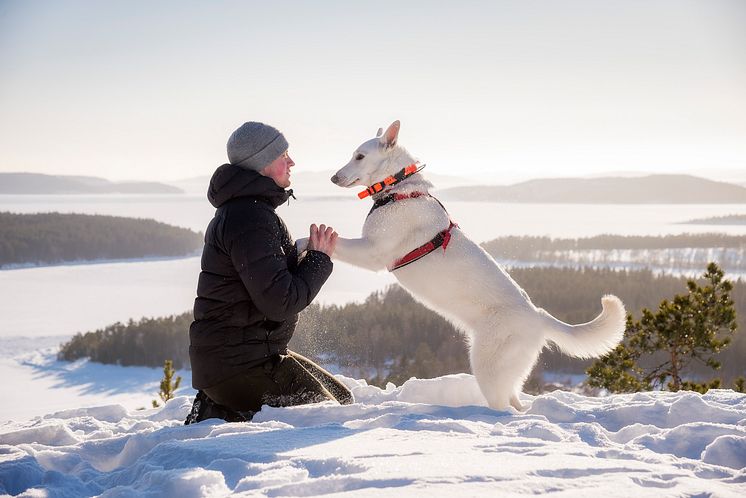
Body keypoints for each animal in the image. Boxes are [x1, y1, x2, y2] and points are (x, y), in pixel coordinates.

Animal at [302, 120, 620, 408]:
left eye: (359, 156)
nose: (332, 178)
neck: (399, 190)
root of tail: (538, 316)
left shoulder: (372, 252)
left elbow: (325, 240)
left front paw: (305, 243)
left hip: (487, 367)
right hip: (507, 373)